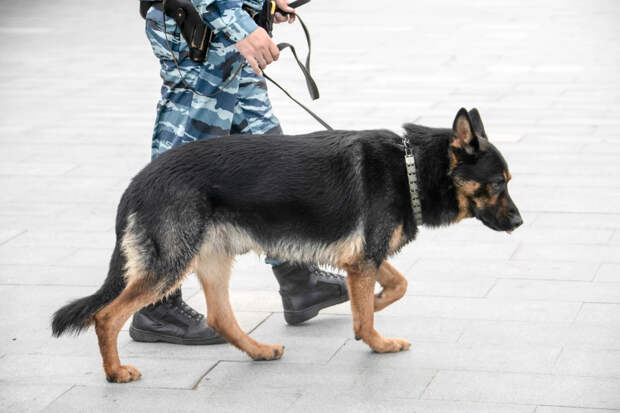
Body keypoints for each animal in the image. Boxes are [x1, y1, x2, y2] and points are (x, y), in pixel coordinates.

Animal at [50, 108, 520, 382]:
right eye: (498, 184)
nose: (520, 221)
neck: (411, 167)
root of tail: (140, 180)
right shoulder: (364, 259)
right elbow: (372, 309)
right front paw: (376, 338)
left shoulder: (363, 257)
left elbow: (397, 285)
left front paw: (369, 306)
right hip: (171, 264)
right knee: (106, 316)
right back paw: (115, 372)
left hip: (212, 259)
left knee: (221, 317)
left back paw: (258, 351)